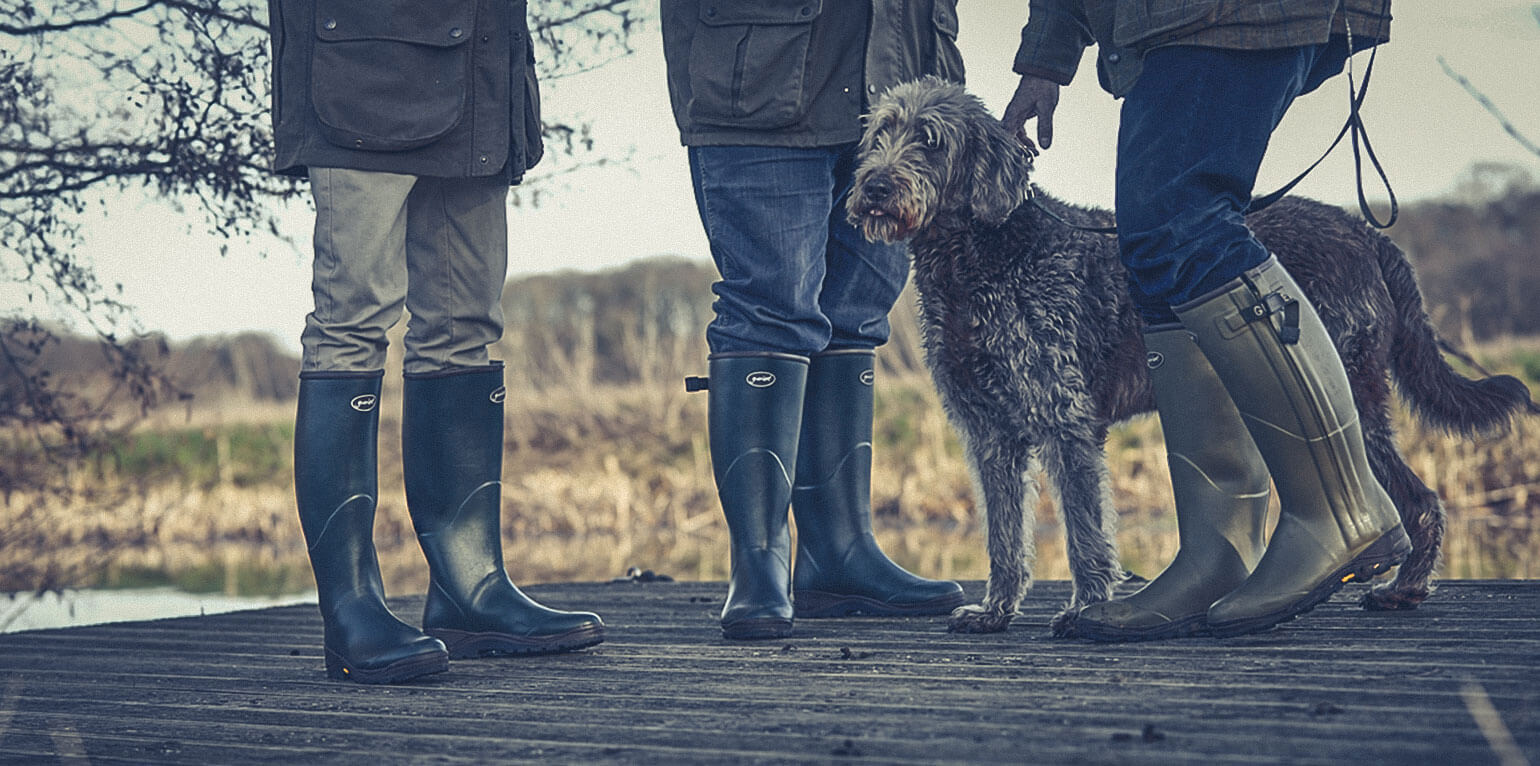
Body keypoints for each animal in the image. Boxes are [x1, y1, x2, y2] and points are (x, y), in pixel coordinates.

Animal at [856, 77, 1540, 634]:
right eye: (881, 132)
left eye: (931, 141)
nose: (874, 185)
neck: (975, 257)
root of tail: (1364, 232)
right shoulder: (990, 432)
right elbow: (1003, 534)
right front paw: (996, 610)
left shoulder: (1064, 420)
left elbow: (1085, 533)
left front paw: (1086, 608)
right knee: (1413, 498)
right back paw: (1397, 588)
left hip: (1352, 392)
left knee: (1411, 497)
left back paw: (1396, 582)